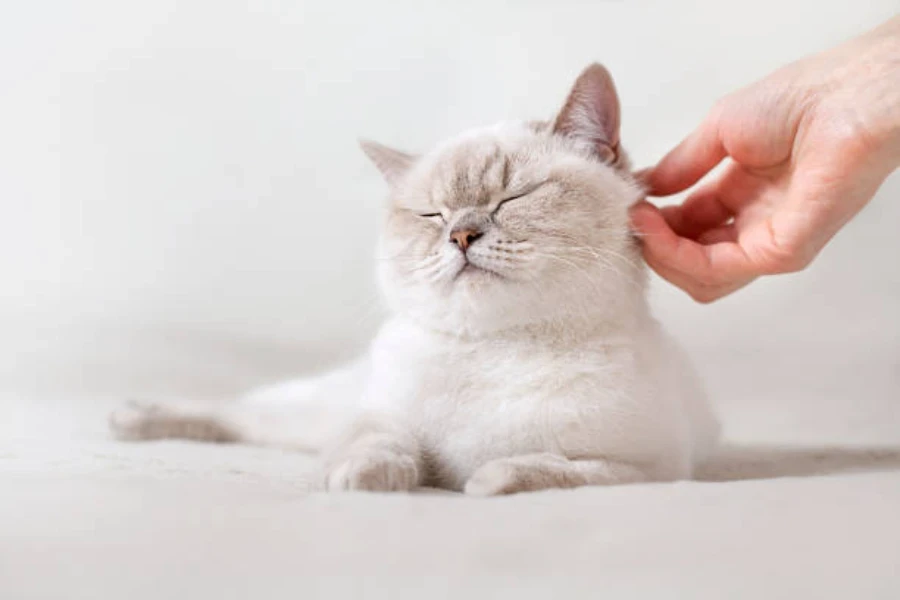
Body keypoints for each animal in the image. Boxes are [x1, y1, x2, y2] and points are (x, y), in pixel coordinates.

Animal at [110, 64, 716, 496]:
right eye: (433, 215)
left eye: (512, 198)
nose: (463, 235)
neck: (498, 350)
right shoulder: (377, 414)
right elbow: (376, 441)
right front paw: (367, 478)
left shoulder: (647, 467)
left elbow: (540, 470)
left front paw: (484, 479)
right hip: (309, 408)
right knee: (237, 412)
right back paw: (131, 417)